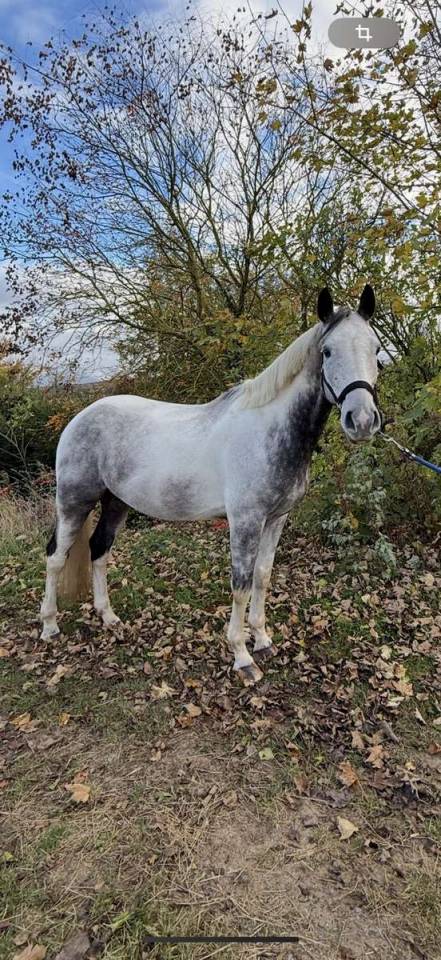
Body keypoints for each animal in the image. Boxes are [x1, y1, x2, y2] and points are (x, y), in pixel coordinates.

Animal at [40, 285, 382, 683]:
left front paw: (262, 639)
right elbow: (241, 584)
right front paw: (242, 656)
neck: (270, 430)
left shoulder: (276, 519)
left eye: (376, 350)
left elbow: (262, 576)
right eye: (327, 351)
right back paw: (49, 627)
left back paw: (108, 616)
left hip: (115, 501)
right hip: (74, 502)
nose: (361, 420)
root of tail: (80, 416)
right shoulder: (246, 521)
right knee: (55, 556)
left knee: (99, 548)